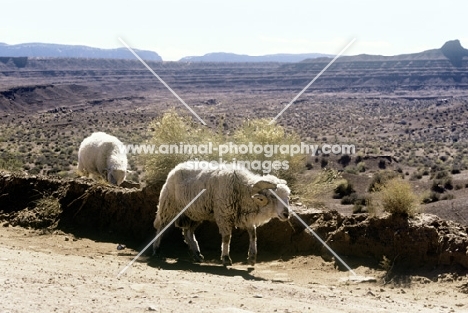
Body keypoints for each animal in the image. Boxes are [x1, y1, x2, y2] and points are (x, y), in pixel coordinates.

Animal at [154, 161, 290, 266]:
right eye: (273, 196)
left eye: (288, 196)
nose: (286, 214)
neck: (242, 190)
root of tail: (176, 167)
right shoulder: (224, 216)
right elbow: (227, 237)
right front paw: (225, 258)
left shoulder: (244, 216)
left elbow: (253, 234)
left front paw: (252, 257)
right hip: (168, 207)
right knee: (161, 227)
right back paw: (156, 250)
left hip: (195, 212)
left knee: (188, 233)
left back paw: (197, 254)